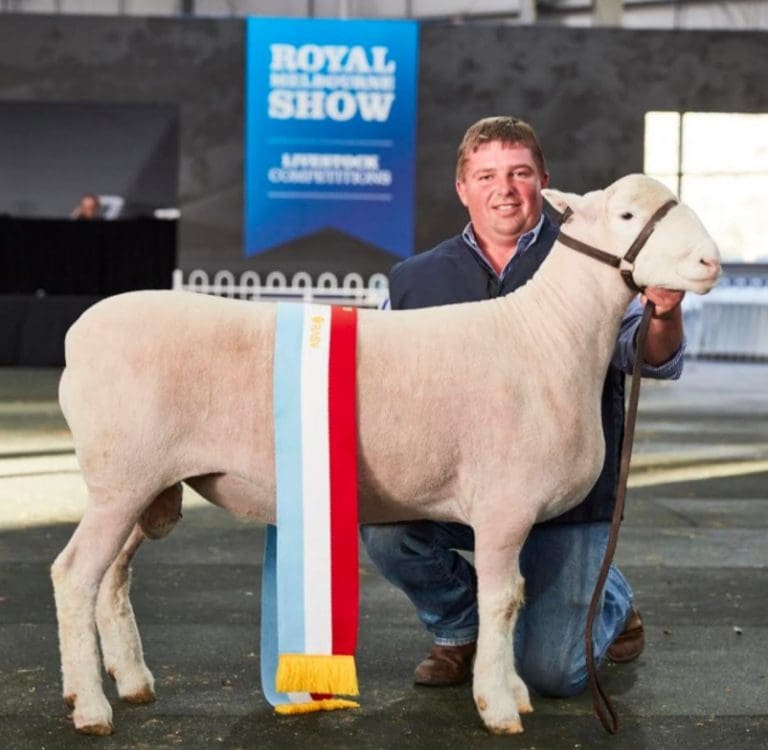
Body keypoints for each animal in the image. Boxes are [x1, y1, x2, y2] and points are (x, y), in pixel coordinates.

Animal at [51, 173, 721, 736]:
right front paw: (499, 708)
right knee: (75, 574)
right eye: (627, 213)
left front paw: (512, 691)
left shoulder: (514, 511)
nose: (711, 262)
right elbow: (503, 600)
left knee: (114, 577)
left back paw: (132, 682)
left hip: (145, 486)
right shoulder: (504, 505)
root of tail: (78, 334)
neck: (550, 333)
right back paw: (91, 708)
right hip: (122, 478)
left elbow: (515, 599)